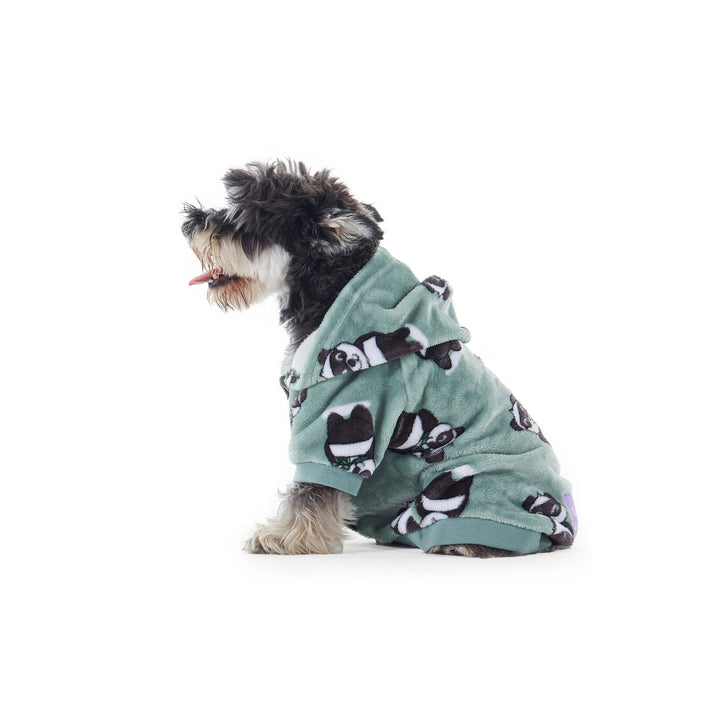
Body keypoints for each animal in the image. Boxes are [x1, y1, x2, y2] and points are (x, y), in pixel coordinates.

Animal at [183, 160, 577, 557]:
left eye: (242, 220)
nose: (190, 221)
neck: (331, 292)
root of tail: (562, 530)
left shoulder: (341, 409)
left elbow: (313, 488)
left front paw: (285, 537)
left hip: (472, 481)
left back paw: (457, 543)